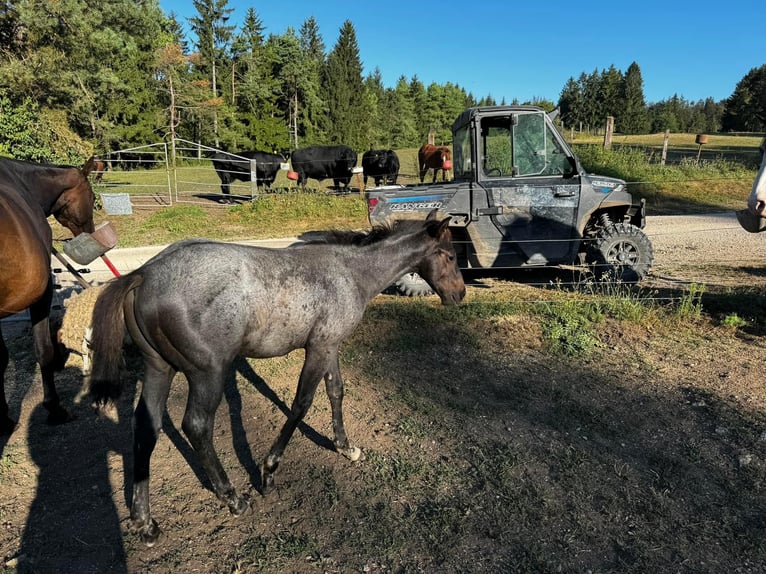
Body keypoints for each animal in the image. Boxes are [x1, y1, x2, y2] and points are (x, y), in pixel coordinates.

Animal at [87, 210, 464, 548]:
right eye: (450, 255)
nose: (459, 294)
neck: (350, 272)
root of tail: (144, 274)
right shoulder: (319, 349)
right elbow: (301, 403)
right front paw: (268, 471)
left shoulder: (328, 344)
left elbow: (336, 391)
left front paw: (345, 447)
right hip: (208, 372)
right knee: (196, 426)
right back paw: (233, 498)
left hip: (159, 369)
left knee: (146, 427)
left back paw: (145, 522)